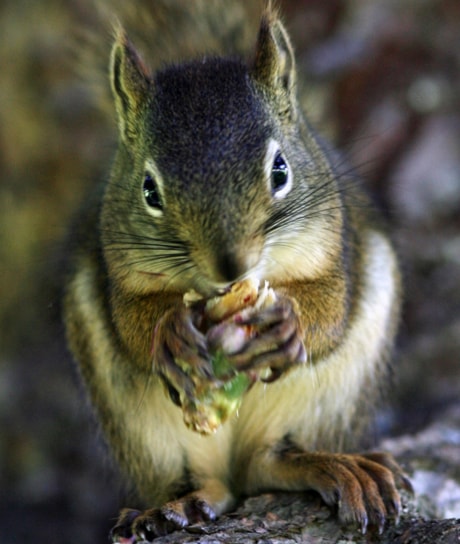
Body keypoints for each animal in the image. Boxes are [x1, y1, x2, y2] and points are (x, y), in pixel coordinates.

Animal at [63, 2, 412, 540]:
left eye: (280, 170)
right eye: (149, 191)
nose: (231, 268)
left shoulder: (338, 246)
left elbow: (331, 306)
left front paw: (288, 322)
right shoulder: (115, 267)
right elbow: (130, 322)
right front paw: (169, 332)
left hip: (332, 398)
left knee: (272, 461)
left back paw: (336, 466)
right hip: (144, 432)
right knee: (210, 482)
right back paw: (178, 505)